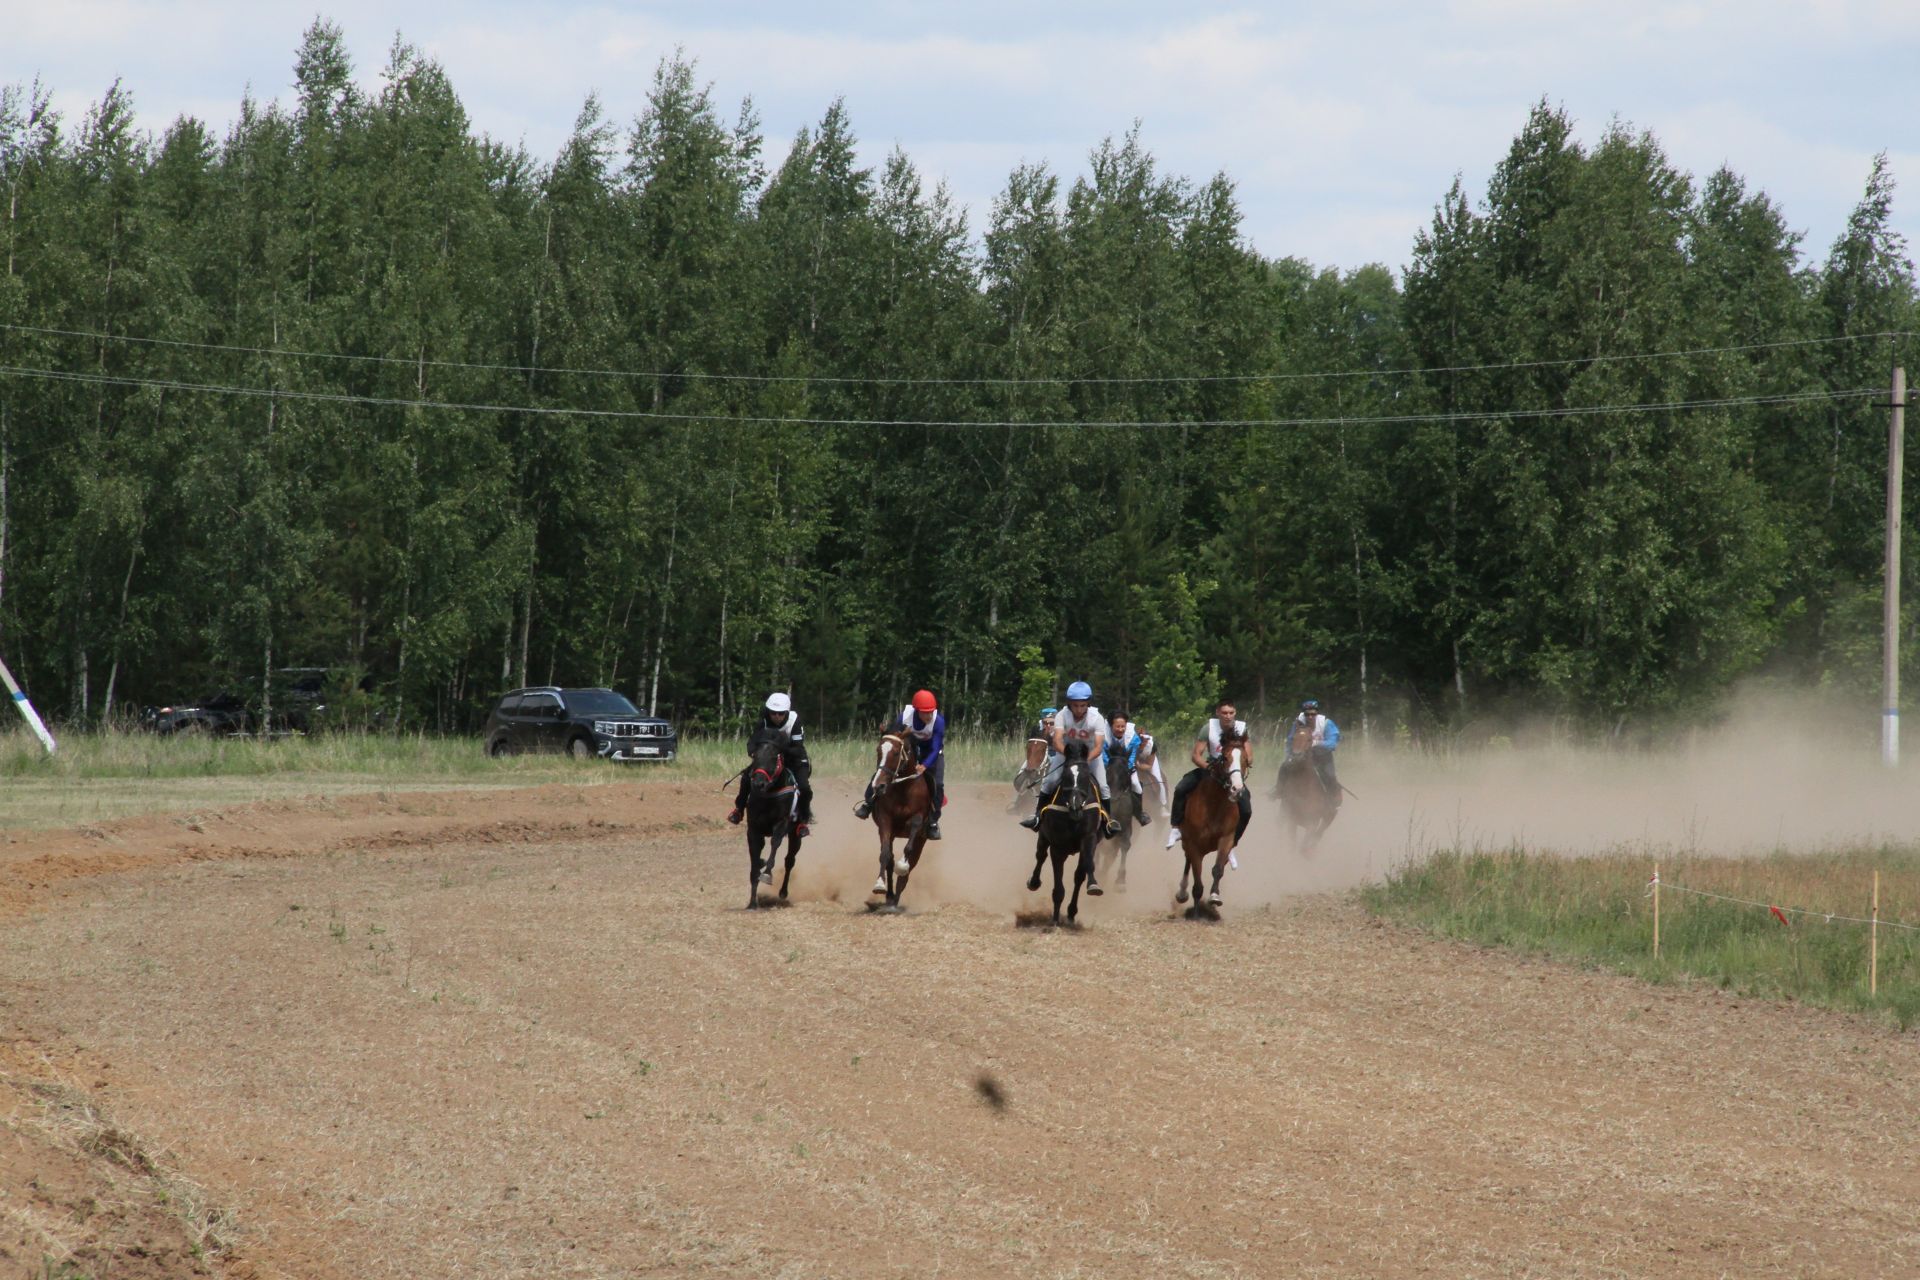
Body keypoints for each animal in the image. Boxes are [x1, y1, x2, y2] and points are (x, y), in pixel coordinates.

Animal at [741, 729, 802, 909]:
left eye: (774, 757)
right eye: (755, 756)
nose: (759, 783)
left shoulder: (781, 824)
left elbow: (775, 844)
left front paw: (767, 873)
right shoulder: (753, 830)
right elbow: (754, 863)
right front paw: (752, 903)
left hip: (796, 835)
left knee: (790, 861)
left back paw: (783, 892)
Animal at [867, 729, 933, 909]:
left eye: (896, 753)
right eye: (878, 750)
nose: (879, 786)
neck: (904, 788)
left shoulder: (918, 819)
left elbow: (907, 852)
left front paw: (902, 865)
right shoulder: (885, 821)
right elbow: (885, 854)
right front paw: (879, 886)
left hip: (921, 840)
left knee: (910, 867)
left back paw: (896, 899)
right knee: (890, 860)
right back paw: (889, 896)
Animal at [1029, 740, 1105, 932]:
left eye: (1085, 775)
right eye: (1065, 775)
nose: (1075, 805)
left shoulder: (1089, 839)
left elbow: (1083, 871)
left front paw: (1093, 886)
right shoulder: (1057, 847)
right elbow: (1058, 887)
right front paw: (1055, 920)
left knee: (1077, 876)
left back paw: (1071, 912)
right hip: (1043, 837)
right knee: (1040, 856)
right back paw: (1033, 882)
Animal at [1274, 721, 1336, 852]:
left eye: (1309, 739)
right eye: (1294, 738)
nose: (1297, 755)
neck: (1303, 788)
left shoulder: (1312, 822)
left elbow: (1305, 846)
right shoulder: (1291, 821)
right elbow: (1293, 845)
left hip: (1328, 817)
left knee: (1319, 833)